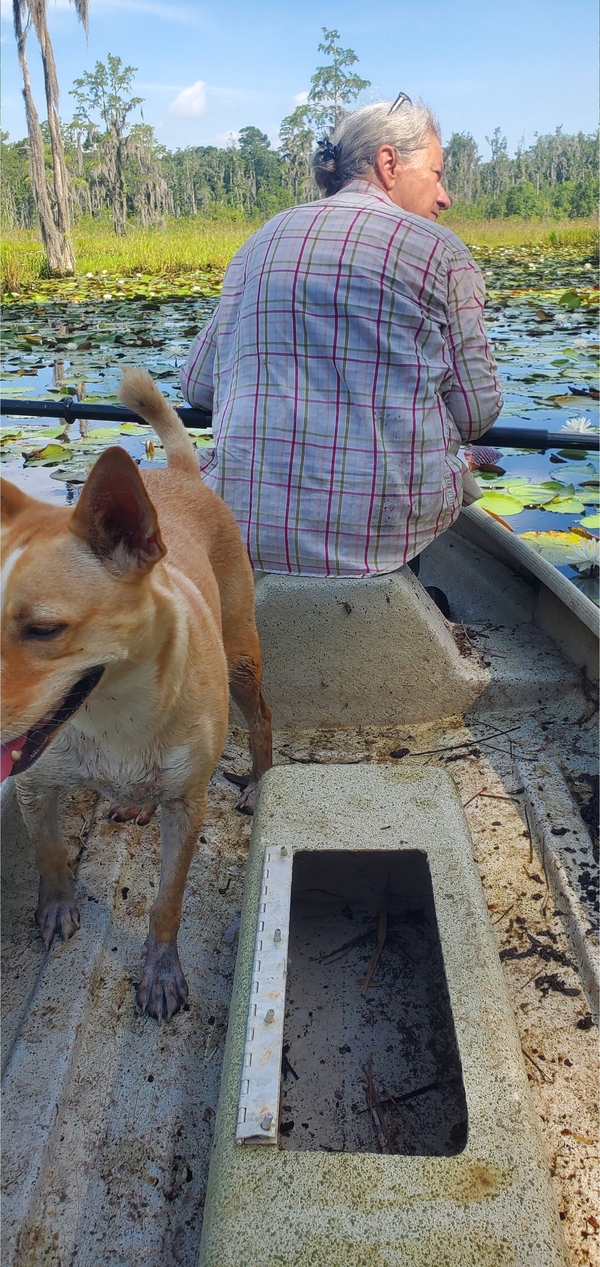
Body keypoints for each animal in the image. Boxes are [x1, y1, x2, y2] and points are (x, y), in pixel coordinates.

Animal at [0, 369, 272, 1018]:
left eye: (43, 630)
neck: (113, 712)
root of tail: (176, 472)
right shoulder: (32, 782)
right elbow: (49, 852)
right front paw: (55, 910)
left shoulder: (188, 807)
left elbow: (167, 901)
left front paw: (162, 971)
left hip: (243, 656)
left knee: (263, 718)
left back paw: (259, 780)